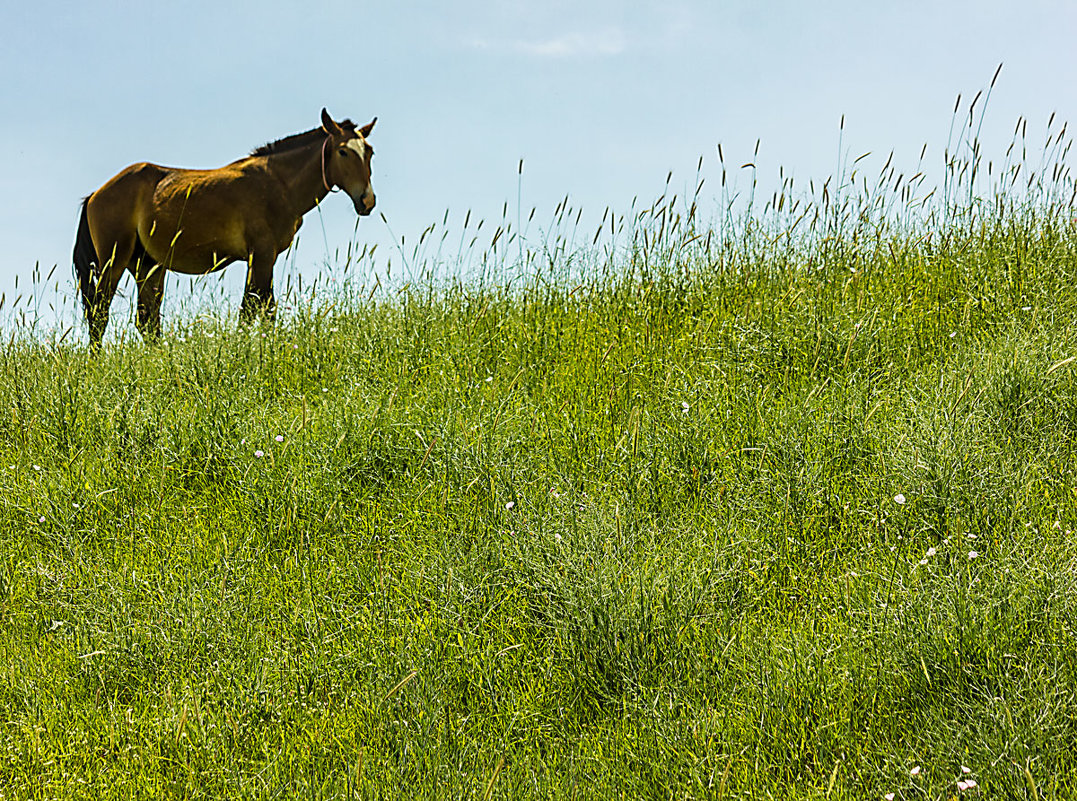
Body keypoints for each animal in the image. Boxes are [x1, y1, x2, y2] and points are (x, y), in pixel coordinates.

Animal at [71, 107, 374, 344]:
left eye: (369, 151)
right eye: (343, 152)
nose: (367, 200)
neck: (278, 183)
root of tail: (94, 195)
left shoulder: (261, 258)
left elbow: (258, 310)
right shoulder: (261, 256)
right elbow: (257, 309)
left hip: (147, 266)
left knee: (147, 322)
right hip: (114, 263)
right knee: (99, 315)